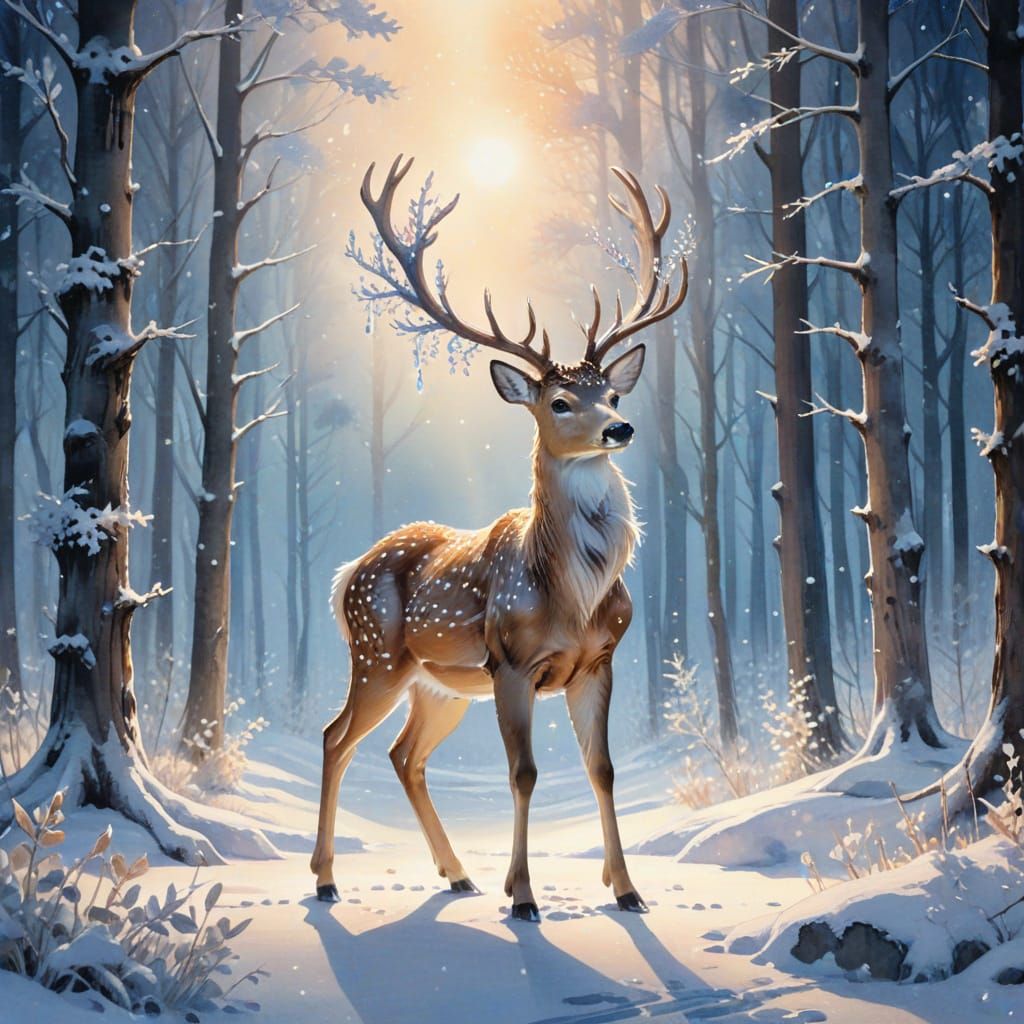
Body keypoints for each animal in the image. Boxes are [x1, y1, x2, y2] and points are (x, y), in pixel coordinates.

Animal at [311, 156, 688, 921]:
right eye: (560, 402)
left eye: (615, 394)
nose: (620, 428)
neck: (573, 597)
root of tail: (345, 576)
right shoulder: (511, 662)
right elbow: (524, 772)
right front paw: (524, 898)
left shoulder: (599, 662)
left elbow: (601, 769)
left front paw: (627, 889)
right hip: (378, 655)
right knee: (337, 738)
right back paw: (328, 878)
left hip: (442, 684)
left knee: (404, 754)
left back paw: (457, 874)